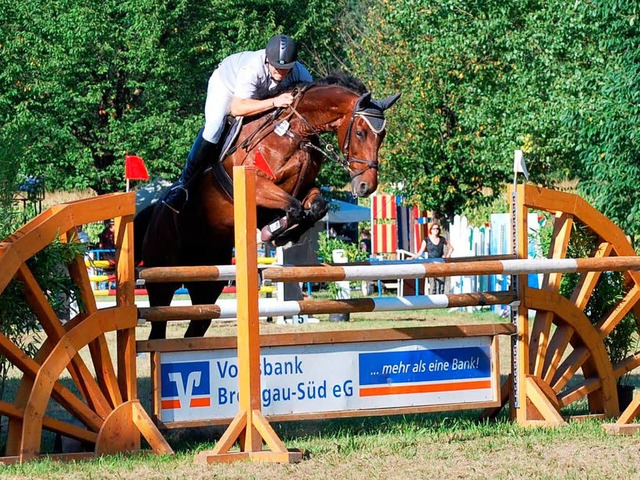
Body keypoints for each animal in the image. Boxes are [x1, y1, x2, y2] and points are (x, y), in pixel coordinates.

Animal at [135, 73, 400, 340]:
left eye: (383, 135)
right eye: (360, 132)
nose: (367, 186)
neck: (295, 134)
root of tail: (153, 212)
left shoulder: (305, 188)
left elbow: (316, 207)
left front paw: (283, 233)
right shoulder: (259, 186)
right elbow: (294, 207)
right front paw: (272, 232)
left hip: (209, 284)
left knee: (195, 328)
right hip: (162, 280)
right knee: (158, 328)